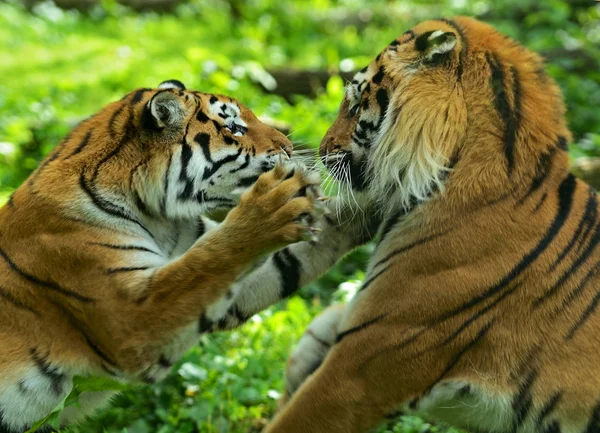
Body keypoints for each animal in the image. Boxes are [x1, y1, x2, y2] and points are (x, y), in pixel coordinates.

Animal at [0, 79, 328, 430]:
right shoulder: (131, 317)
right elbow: (213, 258)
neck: (156, 215)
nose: (289, 148)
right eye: (233, 128)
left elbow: (288, 262)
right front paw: (273, 205)